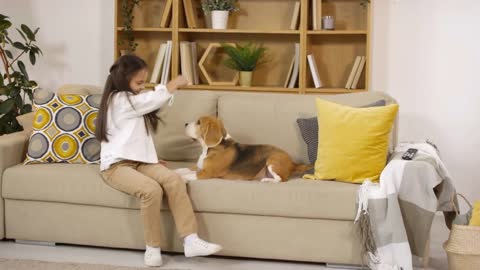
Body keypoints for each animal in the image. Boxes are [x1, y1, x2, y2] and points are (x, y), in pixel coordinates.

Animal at [182, 116, 314, 184]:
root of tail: (293, 163)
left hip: (272, 161)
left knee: (281, 179)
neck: (210, 148)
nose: (185, 123)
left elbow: (186, 175)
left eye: (199, 122)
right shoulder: (198, 167)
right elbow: (183, 170)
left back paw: (266, 179)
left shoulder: (205, 173)